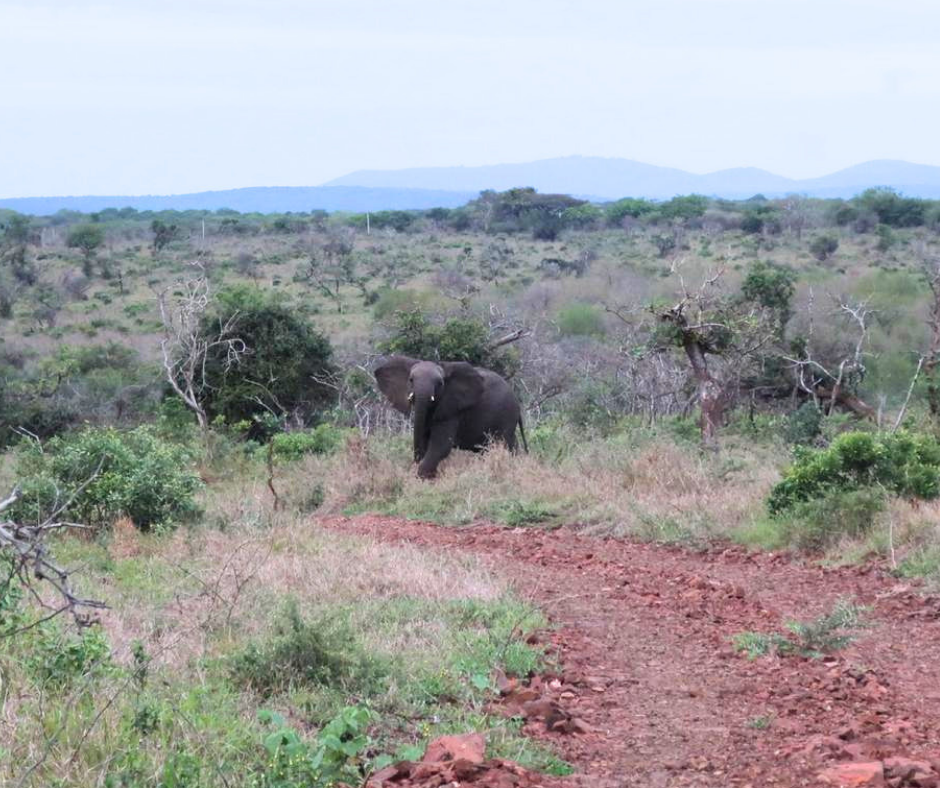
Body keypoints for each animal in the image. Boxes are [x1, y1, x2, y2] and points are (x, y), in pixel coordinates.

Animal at [374, 355, 528, 479]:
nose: (414, 462)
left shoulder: (452, 410)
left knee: (504, 444)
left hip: (506, 415)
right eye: (410, 380)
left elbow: (440, 446)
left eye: (440, 384)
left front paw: (422, 478)